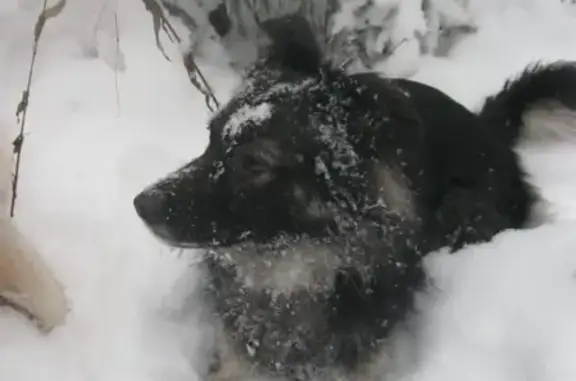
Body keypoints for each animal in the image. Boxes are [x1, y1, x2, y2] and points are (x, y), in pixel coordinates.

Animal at [133, 14, 576, 380]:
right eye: (211, 140)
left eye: (254, 164)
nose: (141, 205)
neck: (297, 272)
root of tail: (489, 130)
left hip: (465, 210)